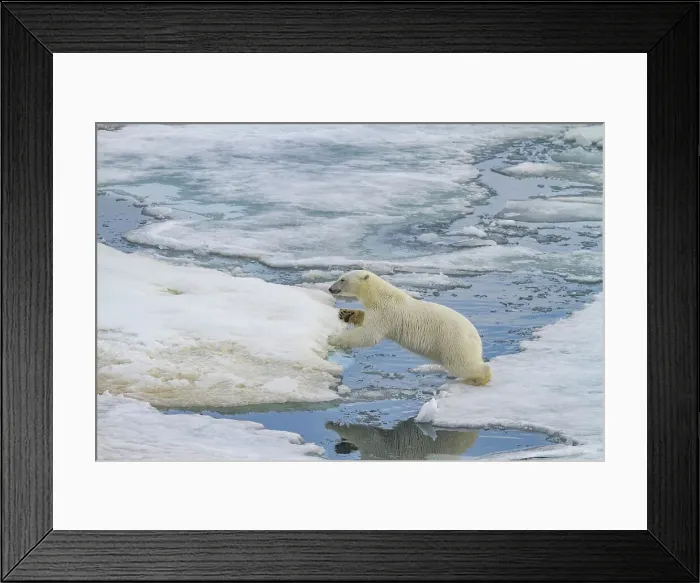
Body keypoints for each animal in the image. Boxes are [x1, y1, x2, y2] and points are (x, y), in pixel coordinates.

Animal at [328, 270, 491, 385]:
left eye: (342, 279)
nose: (330, 288)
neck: (380, 296)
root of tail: (476, 336)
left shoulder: (386, 313)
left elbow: (369, 335)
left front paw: (333, 338)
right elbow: (365, 320)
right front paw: (346, 313)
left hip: (453, 342)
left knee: (463, 364)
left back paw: (479, 379)